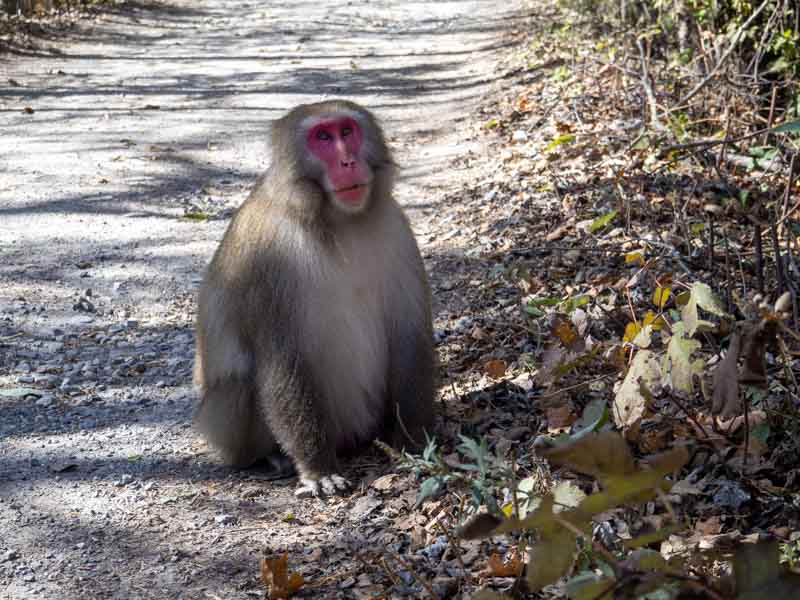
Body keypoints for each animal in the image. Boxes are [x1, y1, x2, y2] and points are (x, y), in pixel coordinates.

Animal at [193, 100, 435, 497]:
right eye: (322, 137)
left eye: (346, 131)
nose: (348, 161)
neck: (337, 222)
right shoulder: (267, 258)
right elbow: (284, 360)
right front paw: (318, 468)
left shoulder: (397, 229)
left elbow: (408, 335)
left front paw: (415, 441)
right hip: (222, 425)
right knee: (241, 385)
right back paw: (270, 456)